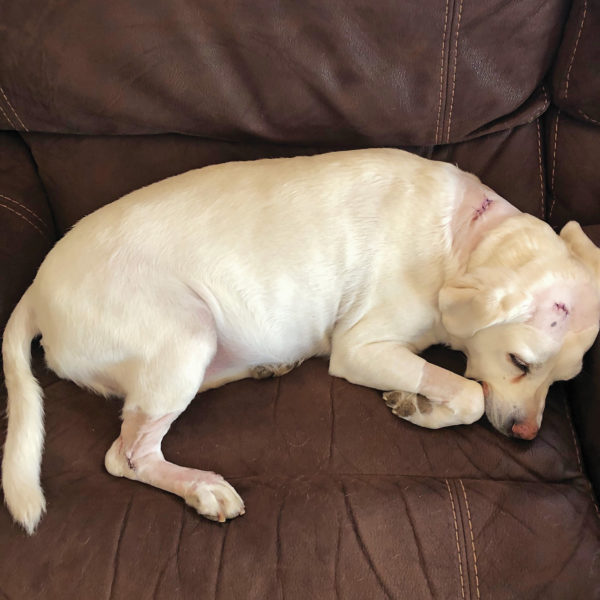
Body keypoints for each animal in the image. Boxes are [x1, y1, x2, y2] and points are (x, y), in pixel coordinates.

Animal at [1, 150, 600, 536]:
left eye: (564, 380)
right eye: (520, 362)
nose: (526, 436)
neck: (466, 237)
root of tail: (34, 287)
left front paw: (417, 403)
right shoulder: (361, 348)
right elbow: (471, 394)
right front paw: (422, 406)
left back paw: (267, 366)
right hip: (185, 335)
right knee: (126, 456)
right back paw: (202, 487)